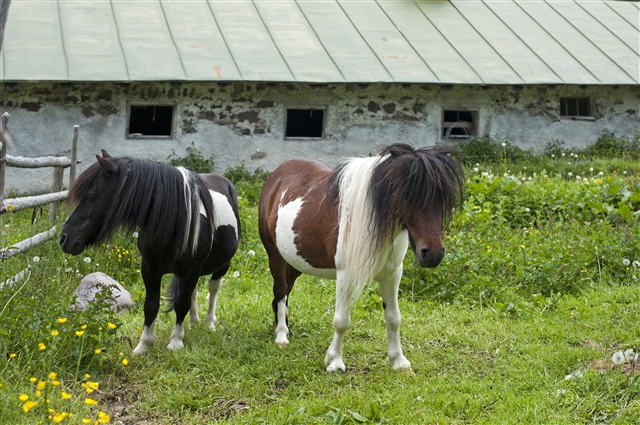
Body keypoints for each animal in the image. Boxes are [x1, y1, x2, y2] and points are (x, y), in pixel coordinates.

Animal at [60, 150, 241, 354]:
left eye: (91, 195)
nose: (64, 238)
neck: (173, 222)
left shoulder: (191, 271)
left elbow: (181, 303)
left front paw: (176, 341)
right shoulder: (150, 269)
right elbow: (151, 305)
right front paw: (144, 343)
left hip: (221, 266)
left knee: (213, 289)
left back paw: (209, 323)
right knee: (193, 293)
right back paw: (194, 322)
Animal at [258, 144, 464, 372]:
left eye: (443, 198)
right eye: (407, 195)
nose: (433, 254)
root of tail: (277, 175)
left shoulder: (392, 275)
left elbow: (394, 318)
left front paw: (398, 361)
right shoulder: (346, 275)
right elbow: (341, 321)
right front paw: (334, 362)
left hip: (296, 261)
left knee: (285, 292)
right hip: (276, 257)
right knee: (280, 292)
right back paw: (281, 335)